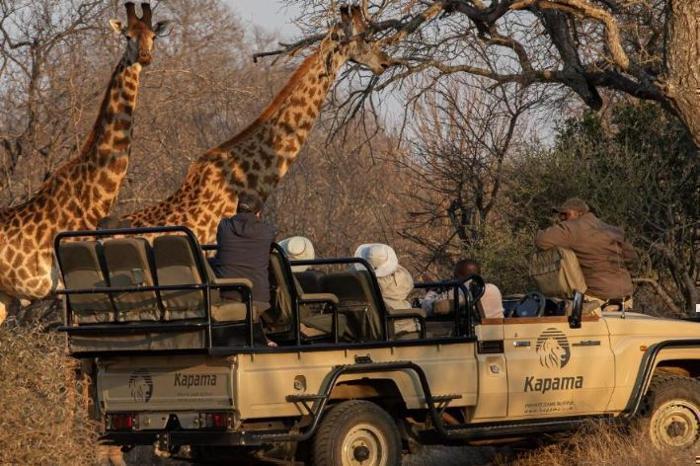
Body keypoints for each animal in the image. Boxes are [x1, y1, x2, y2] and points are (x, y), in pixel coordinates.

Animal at [0, 2, 169, 324]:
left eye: (153, 36)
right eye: (127, 36)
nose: (144, 57)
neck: (92, 197)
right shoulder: (72, 284)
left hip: (3, 296)